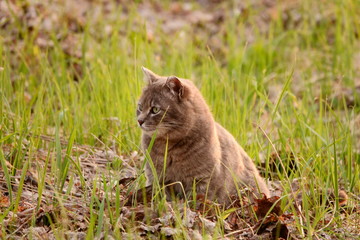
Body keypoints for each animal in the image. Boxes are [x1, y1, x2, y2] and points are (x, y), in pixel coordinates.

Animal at [136, 66, 268, 203]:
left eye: (155, 109)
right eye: (140, 107)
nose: (139, 121)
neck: (168, 145)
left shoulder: (202, 180)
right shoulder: (155, 176)